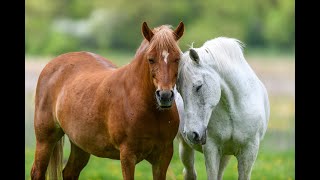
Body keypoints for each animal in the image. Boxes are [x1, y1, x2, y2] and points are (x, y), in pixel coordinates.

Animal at [31, 21, 185, 179]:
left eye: (177, 58)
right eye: (151, 59)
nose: (165, 96)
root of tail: (53, 64)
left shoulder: (163, 156)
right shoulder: (127, 155)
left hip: (80, 145)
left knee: (69, 173)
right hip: (45, 139)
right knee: (37, 172)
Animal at [175, 37, 270, 180]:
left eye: (198, 86)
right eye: (179, 90)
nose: (192, 133)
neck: (234, 109)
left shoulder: (249, 150)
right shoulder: (211, 149)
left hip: (225, 155)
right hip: (185, 147)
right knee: (189, 173)